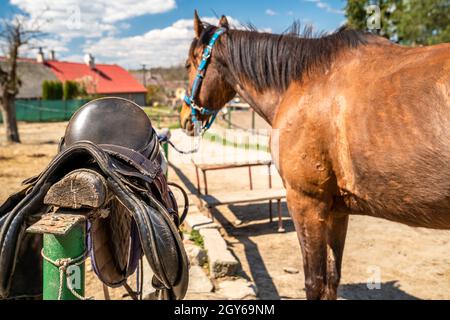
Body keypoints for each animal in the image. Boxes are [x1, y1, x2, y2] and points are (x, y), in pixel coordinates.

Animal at [179, 11, 450, 298]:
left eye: (187, 65)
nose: (185, 117)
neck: (305, 83)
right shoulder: (337, 209)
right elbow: (332, 278)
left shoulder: (306, 201)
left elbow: (314, 281)